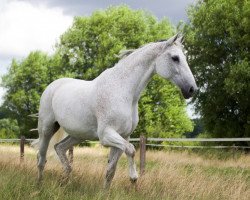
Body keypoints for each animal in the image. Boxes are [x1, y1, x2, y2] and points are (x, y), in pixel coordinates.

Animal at [33, 33, 197, 188]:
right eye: (175, 58)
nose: (192, 89)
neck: (122, 91)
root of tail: (52, 86)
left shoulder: (123, 136)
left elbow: (110, 171)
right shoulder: (107, 135)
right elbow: (131, 150)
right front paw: (133, 177)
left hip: (77, 135)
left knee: (59, 149)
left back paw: (65, 183)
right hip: (47, 129)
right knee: (41, 158)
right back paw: (40, 186)